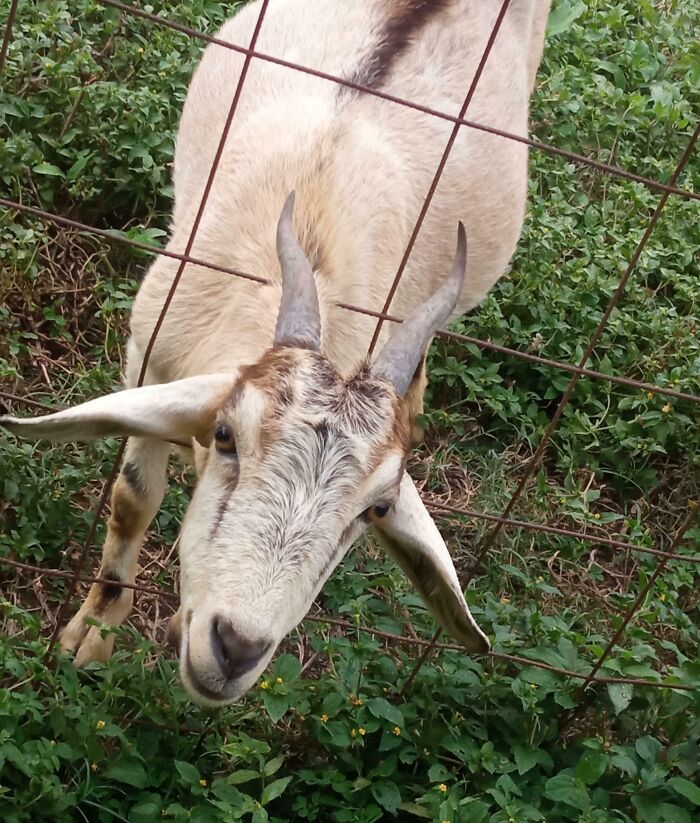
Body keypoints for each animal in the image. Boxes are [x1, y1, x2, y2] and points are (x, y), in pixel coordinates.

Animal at [1, 0, 551, 705]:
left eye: (376, 509)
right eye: (228, 435)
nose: (235, 647)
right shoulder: (147, 352)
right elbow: (132, 501)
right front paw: (90, 638)